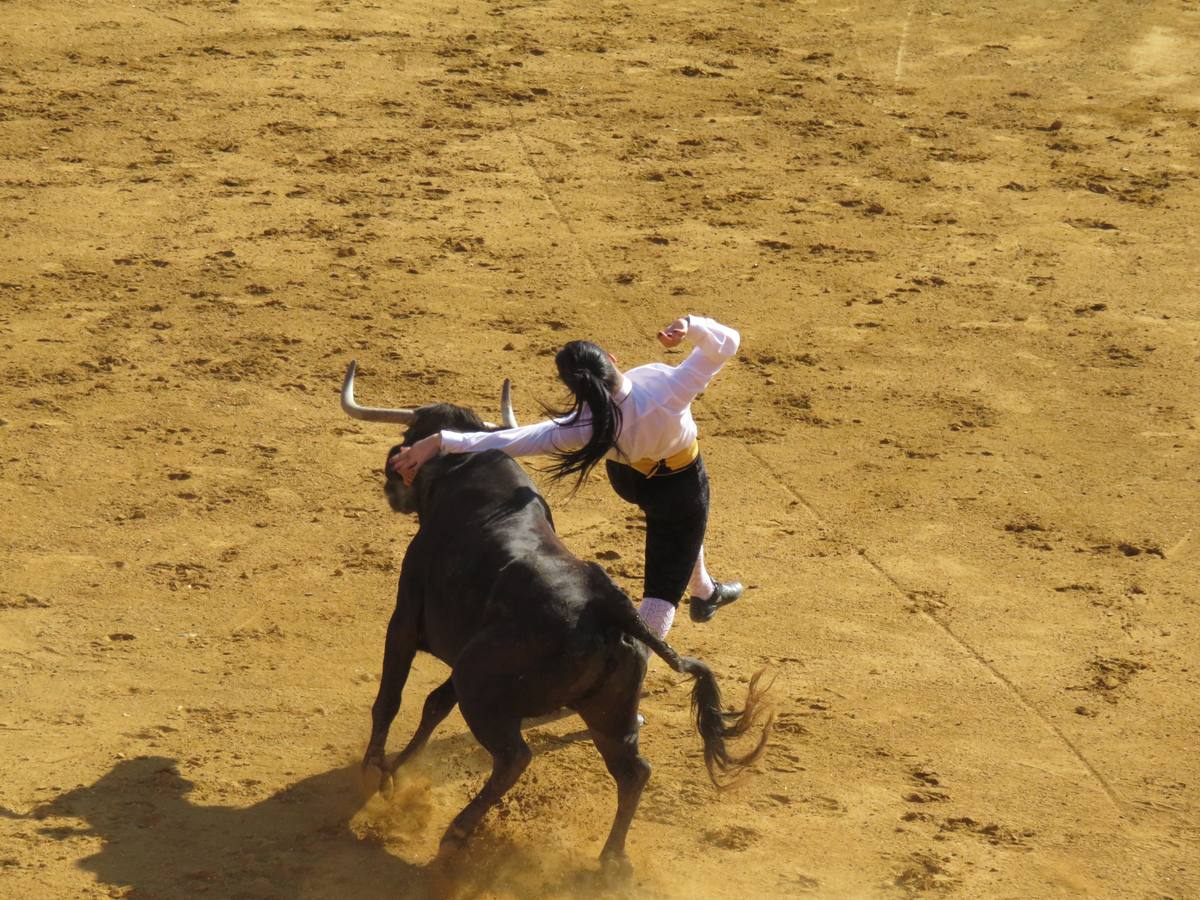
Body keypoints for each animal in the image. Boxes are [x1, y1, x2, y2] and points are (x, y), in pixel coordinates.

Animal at [340, 362, 768, 883]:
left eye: (408, 438)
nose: (390, 480)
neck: (465, 475)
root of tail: (610, 609)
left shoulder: (405, 619)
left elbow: (393, 698)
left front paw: (375, 769)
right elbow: (435, 704)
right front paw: (397, 771)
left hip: (484, 687)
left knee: (514, 757)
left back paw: (456, 834)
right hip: (606, 711)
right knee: (634, 771)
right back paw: (611, 861)